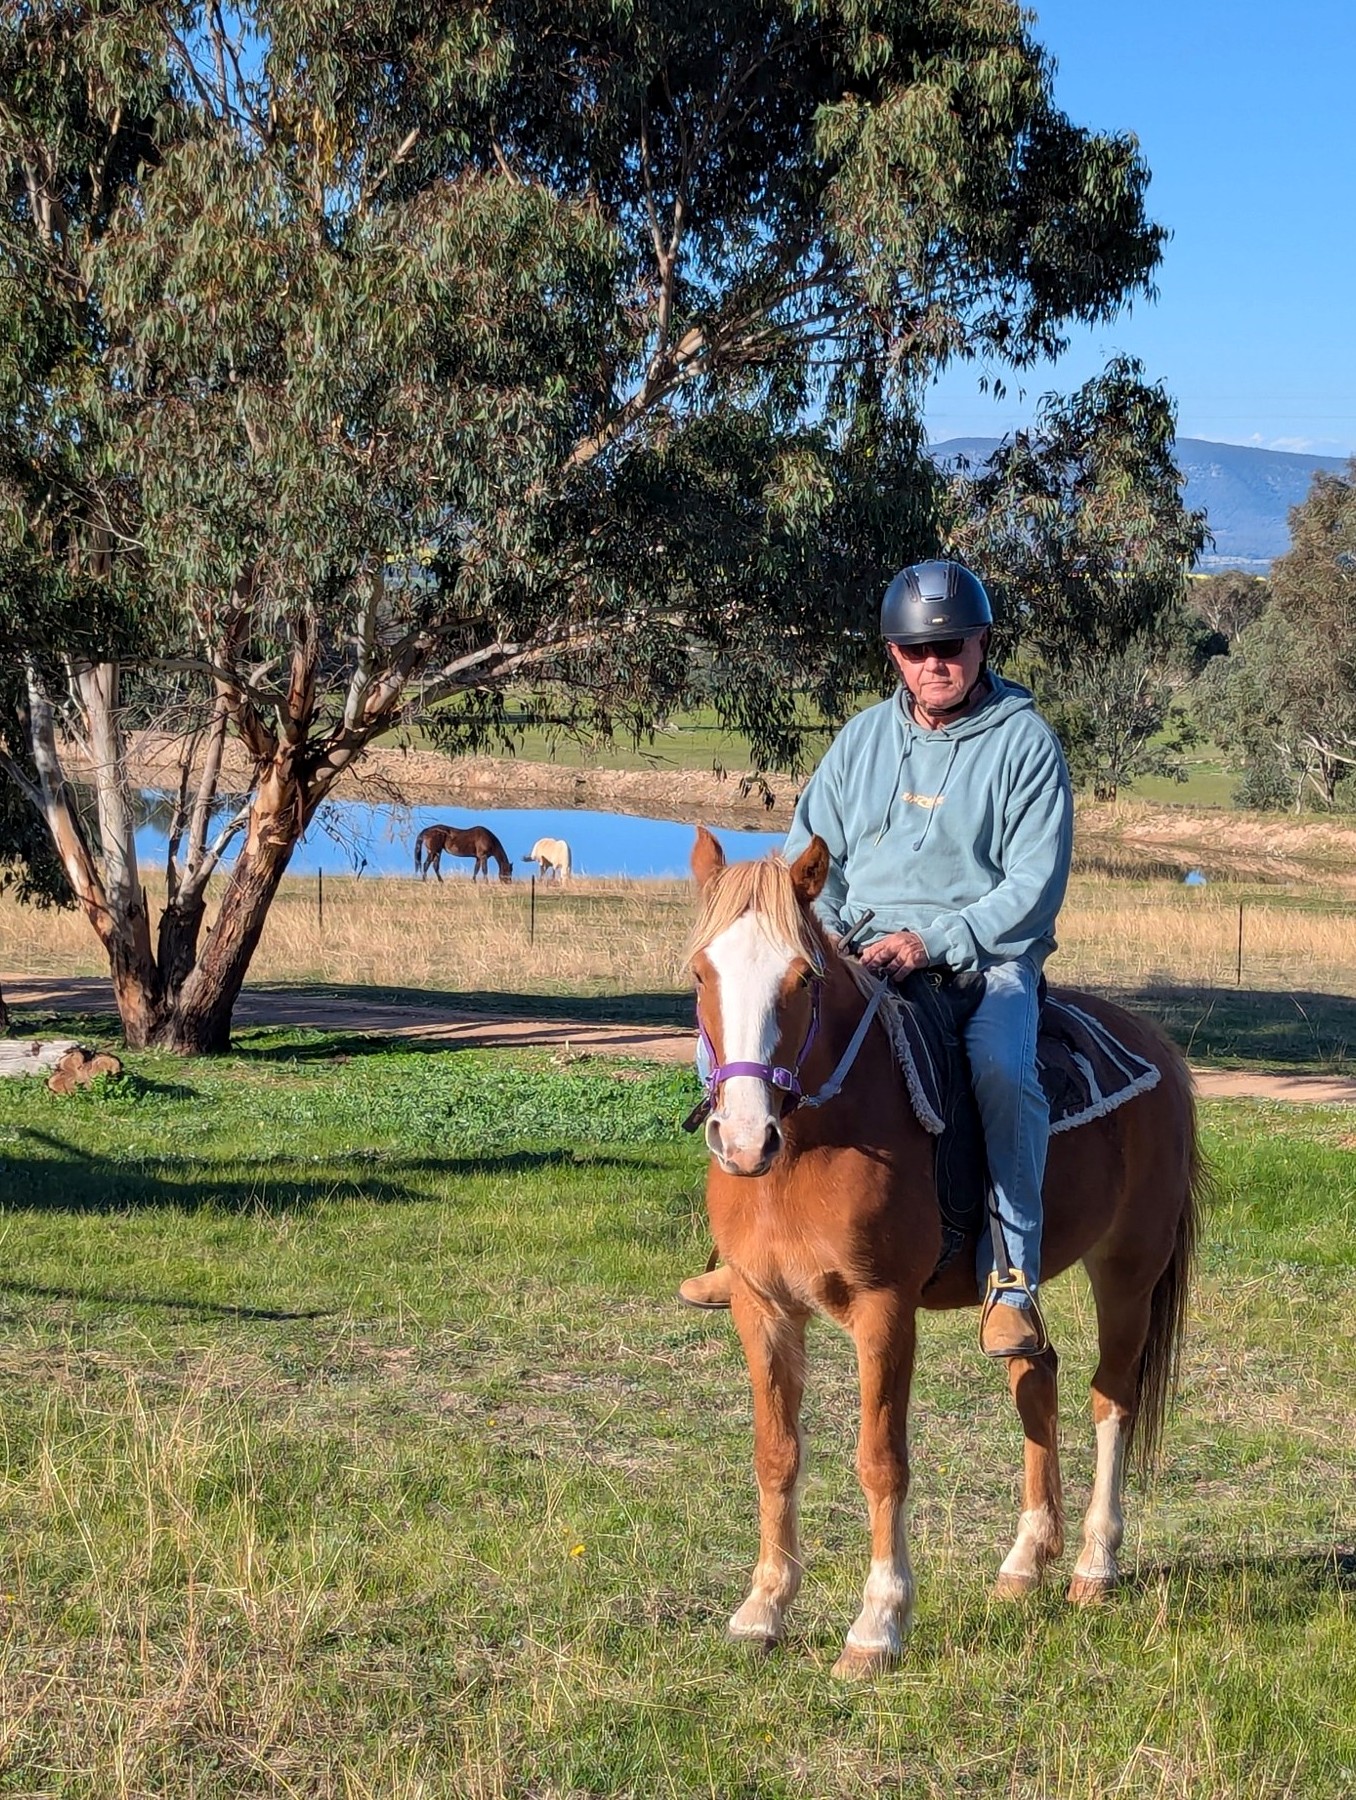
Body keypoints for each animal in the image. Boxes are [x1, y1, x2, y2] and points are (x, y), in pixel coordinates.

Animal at [686, 826, 1204, 1680]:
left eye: (803, 977)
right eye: (702, 972)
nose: (744, 1138)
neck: (811, 1143)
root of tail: (1156, 1046)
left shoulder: (884, 1311)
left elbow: (880, 1460)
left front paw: (877, 1625)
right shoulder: (763, 1309)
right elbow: (776, 1453)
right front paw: (763, 1608)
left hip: (1128, 1268)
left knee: (1112, 1399)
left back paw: (1095, 1565)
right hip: (1025, 1285)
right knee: (1036, 1371)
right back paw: (1026, 1561)